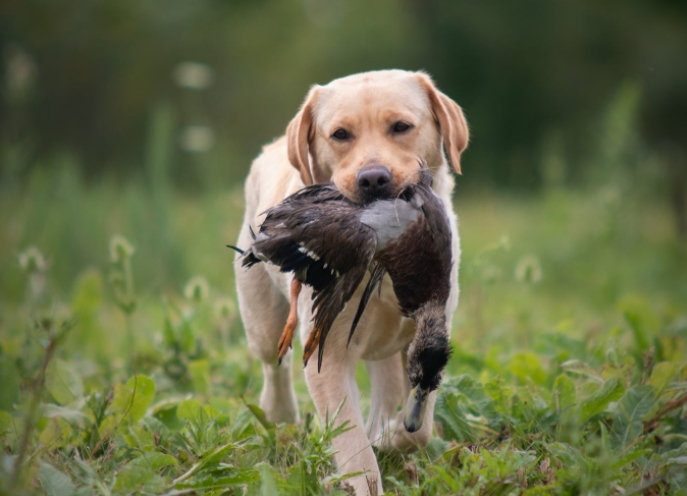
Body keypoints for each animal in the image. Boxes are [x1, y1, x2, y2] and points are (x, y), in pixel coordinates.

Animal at [235, 70, 468, 496]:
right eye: (340, 134)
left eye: (401, 127)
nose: (373, 178)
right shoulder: (327, 354)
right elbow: (353, 444)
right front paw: (366, 474)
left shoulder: (428, 333)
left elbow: (421, 425)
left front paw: (393, 437)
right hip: (262, 321)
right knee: (275, 366)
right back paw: (281, 415)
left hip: (384, 347)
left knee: (386, 390)